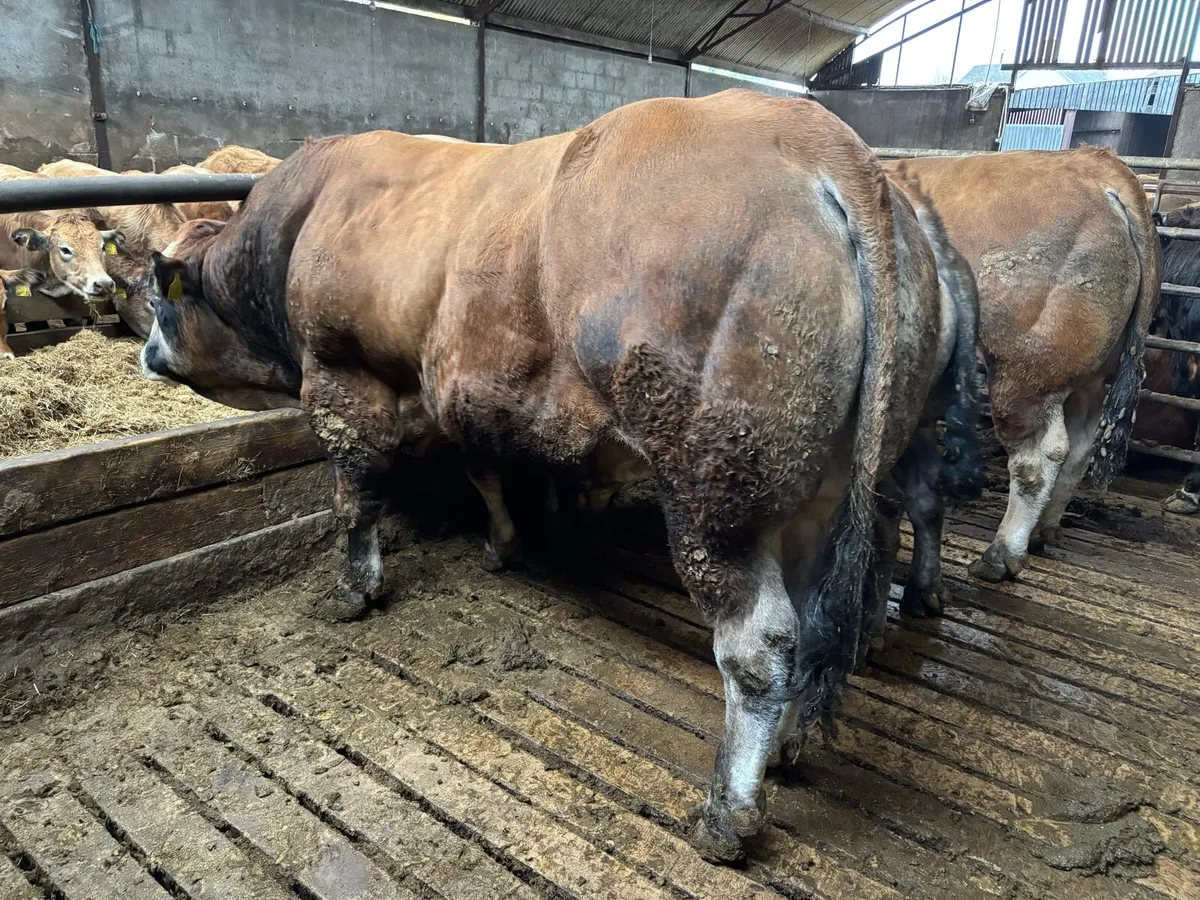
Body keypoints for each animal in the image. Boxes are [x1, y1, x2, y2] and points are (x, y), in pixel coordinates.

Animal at [139, 90, 982, 862]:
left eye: (159, 302)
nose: (146, 354)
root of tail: (826, 142)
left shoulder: (341, 375)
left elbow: (356, 498)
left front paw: (353, 590)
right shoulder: (460, 386)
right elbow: (481, 468)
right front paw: (503, 544)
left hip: (715, 496)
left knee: (761, 641)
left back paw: (727, 813)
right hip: (823, 488)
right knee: (823, 607)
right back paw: (790, 747)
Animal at [883, 149, 1159, 583]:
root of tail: (1094, 163)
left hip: (1025, 374)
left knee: (1038, 457)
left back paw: (1002, 554)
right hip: (1087, 378)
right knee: (1079, 446)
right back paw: (1042, 533)